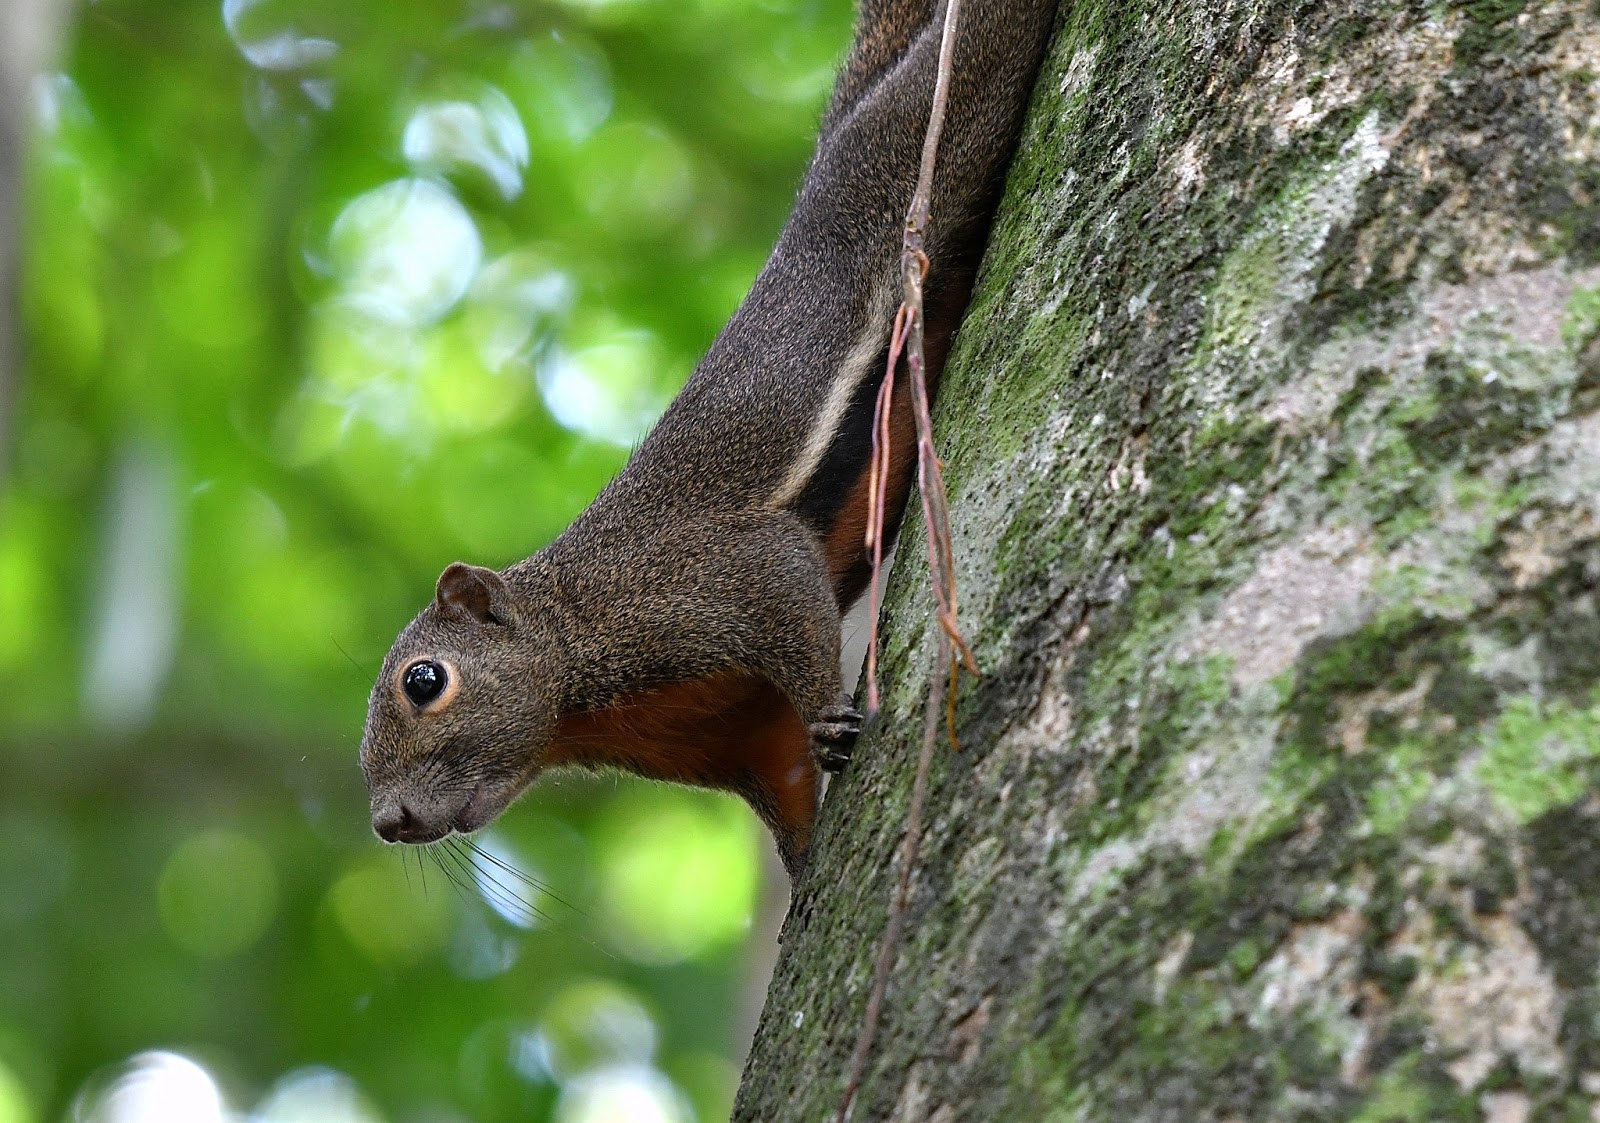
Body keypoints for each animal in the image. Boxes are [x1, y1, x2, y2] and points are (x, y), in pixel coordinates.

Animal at [360, 0, 1059, 882]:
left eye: (424, 681)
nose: (388, 821)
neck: (575, 677)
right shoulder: (736, 736)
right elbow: (787, 788)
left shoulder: (694, 582)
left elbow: (784, 588)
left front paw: (831, 713)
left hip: (920, 141)